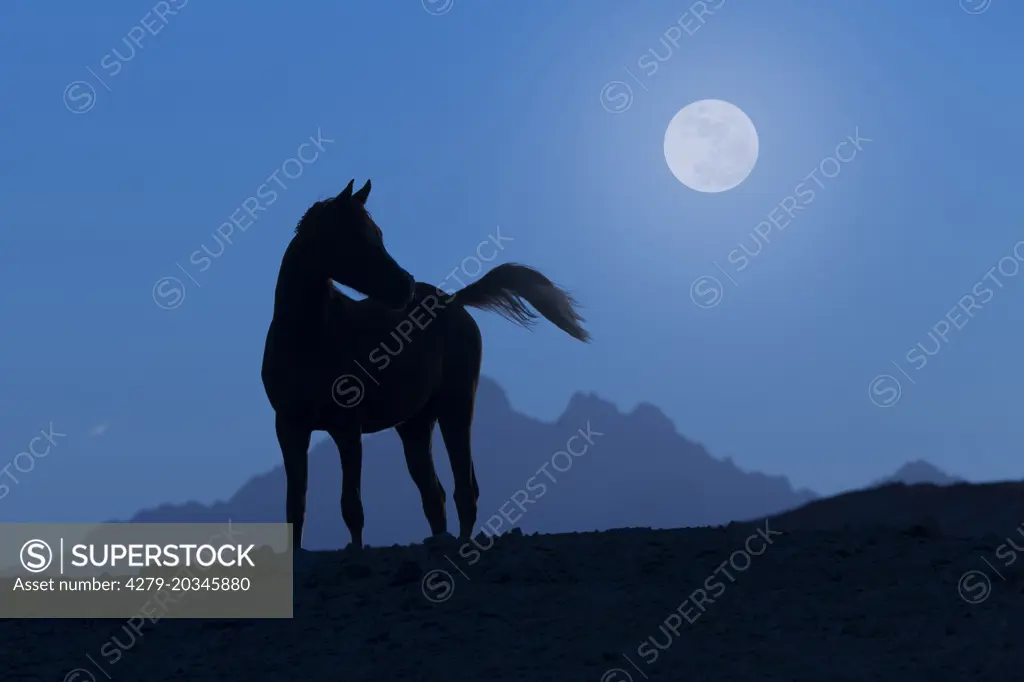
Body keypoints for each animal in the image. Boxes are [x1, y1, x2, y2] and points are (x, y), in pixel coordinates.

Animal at [260, 178, 589, 548]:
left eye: (377, 233)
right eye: (354, 236)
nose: (405, 284)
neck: (309, 339)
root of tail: (453, 300)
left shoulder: (347, 427)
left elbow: (351, 506)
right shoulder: (289, 428)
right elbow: (295, 506)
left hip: (456, 407)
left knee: (465, 489)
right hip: (415, 424)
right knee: (435, 495)